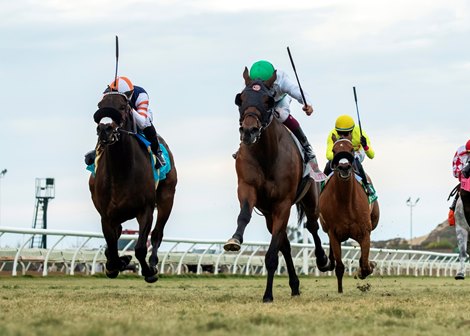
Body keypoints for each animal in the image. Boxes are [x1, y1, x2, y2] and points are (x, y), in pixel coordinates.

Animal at [88, 90, 176, 282]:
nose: (104, 129)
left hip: (167, 198)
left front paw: (149, 272)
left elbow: (141, 248)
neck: (121, 169)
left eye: (122, 106)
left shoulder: (146, 209)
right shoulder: (106, 216)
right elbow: (112, 250)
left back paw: (153, 263)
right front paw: (117, 264)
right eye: (99, 106)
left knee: (157, 233)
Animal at [224, 67, 330, 302]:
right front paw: (235, 240)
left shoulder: (283, 203)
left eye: (268, 100)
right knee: (286, 244)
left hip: (310, 198)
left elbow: (272, 254)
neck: (266, 155)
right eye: (240, 98)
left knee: (312, 226)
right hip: (268, 213)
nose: (249, 131)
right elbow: (244, 216)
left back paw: (322, 260)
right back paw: (295, 285)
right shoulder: (248, 189)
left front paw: (267, 295)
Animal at [318, 138, 380, 292]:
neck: (345, 201)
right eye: (334, 150)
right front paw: (340, 291)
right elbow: (340, 266)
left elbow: (365, 264)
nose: (344, 167)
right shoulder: (334, 233)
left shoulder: (364, 231)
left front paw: (367, 268)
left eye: (351, 149)